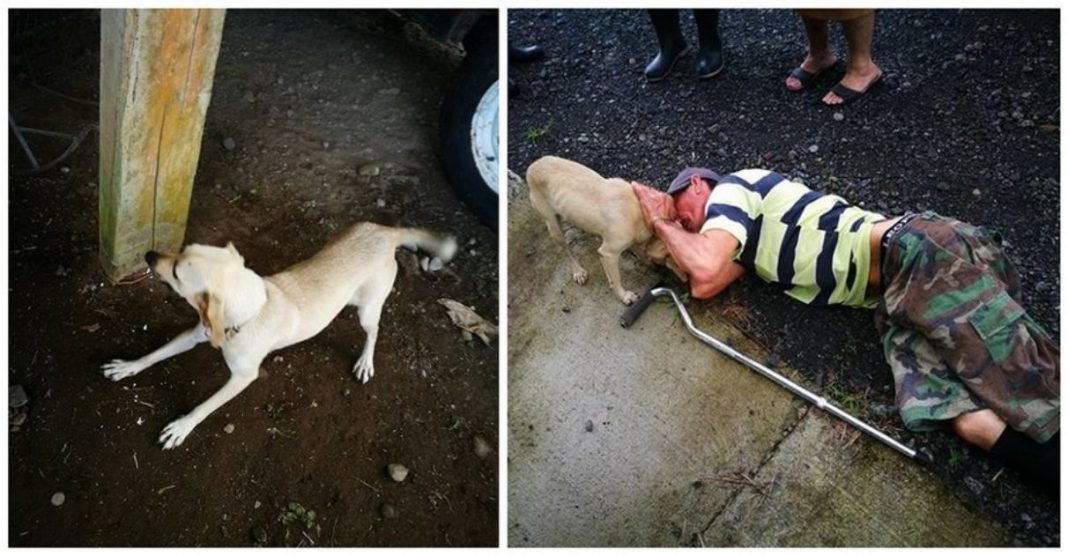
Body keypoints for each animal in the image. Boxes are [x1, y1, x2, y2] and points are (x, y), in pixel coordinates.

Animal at [101, 220, 461, 446]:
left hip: (368, 311)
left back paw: (365, 362)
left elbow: (205, 407)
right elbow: (155, 354)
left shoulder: (243, 377)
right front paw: (128, 367)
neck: (252, 310)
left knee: (373, 333)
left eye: (176, 272)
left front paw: (182, 426)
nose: (148, 254)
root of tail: (389, 232)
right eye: (180, 250)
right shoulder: (196, 332)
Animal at [527, 154, 683, 303]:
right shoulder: (609, 252)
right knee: (566, 250)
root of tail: (532, 167)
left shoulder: (617, 247)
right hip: (553, 226)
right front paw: (624, 296)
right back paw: (578, 271)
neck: (640, 210)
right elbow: (617, 277)